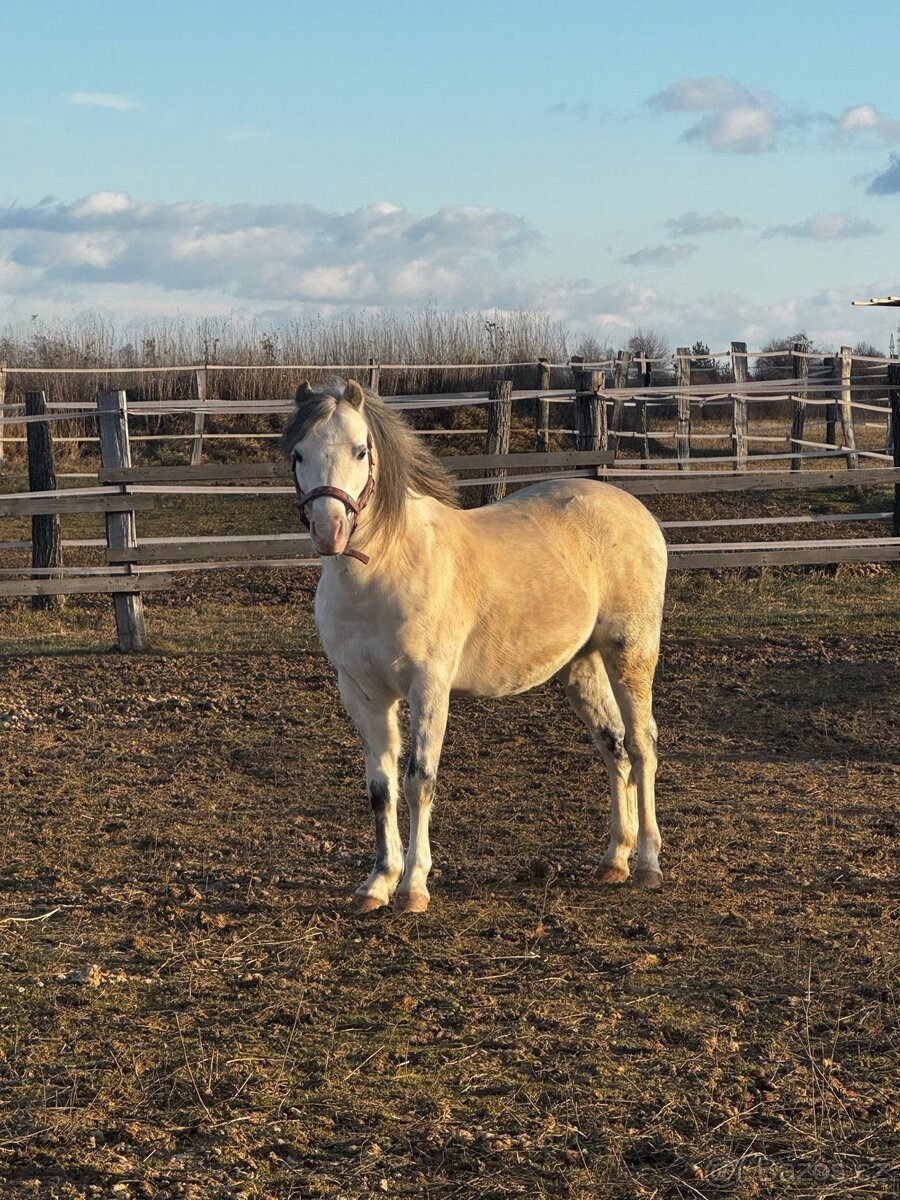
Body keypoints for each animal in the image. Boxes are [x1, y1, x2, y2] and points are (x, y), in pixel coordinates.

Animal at [285, 378, 668, 913]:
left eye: (360, 450)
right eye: (298, 454)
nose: (329, 531)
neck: (383, 570)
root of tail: (635, 511)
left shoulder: (429, 687)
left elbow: (418, 781)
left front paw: (413, 887)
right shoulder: (362, 693)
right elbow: (381, 787)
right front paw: (377, 883)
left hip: (630, 653)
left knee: (641, 744)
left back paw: (648, 863)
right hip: (581, 665)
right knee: (613, 746)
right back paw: (615, 859)